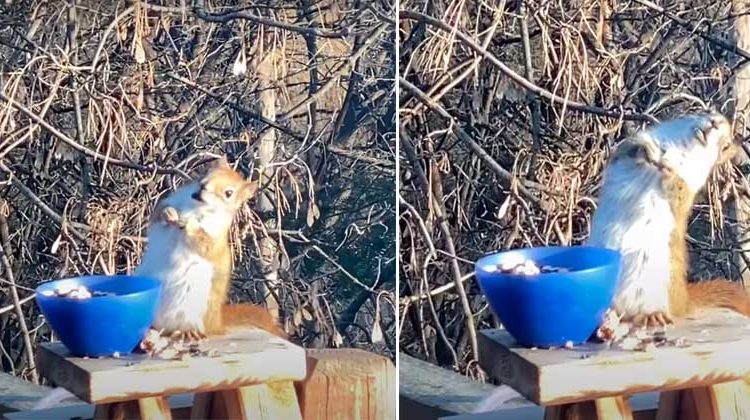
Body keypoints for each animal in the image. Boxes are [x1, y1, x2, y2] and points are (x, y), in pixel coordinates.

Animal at [134, 157, 285, 340]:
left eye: (229, 193)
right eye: (206, 173)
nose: (203, 186)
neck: (196, 207)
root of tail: (216, 323)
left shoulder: (215, 238)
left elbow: (205, 244)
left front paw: (190, 225)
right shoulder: (169, 203)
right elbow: (157, 214)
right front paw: (168, 213)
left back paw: (187, 331)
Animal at [588, 112, 750, 327]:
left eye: (725, 146)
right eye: (708, 112)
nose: (714, 123)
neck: (680, 149)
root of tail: (682, 301)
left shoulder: (691, 184)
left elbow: (678, 192)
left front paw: (669, 171)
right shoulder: (632, 147)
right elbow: (628, 150)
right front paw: (646, 152)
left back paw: (651, 316)